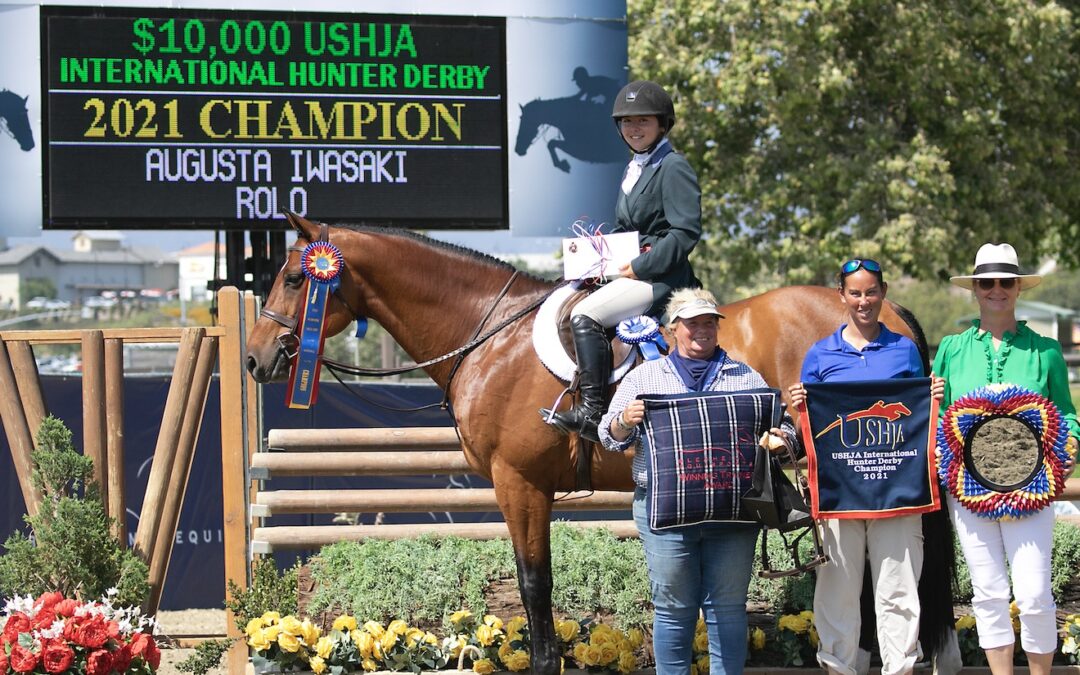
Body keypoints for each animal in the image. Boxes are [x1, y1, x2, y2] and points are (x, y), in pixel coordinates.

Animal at [243, 214, 954, 673]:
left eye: (294, 278)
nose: (254, 360)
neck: (488, 334)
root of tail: (883, 311)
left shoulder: (520, 484)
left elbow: (535, 585)